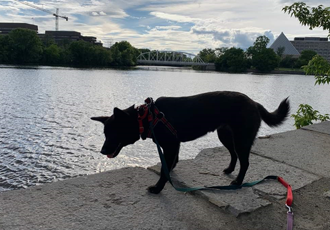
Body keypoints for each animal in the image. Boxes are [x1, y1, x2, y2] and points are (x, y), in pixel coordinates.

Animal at [91, 91, 288, 194]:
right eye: (105, 134)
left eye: (113, 134)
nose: (102, 151)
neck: (146, 117)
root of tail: (254, 103)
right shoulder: (174, 145)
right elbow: (170, 164)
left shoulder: (170, 146)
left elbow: (164, 170)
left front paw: (158, 188)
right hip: (225, 135)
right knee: (233, 155)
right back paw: (229, 170)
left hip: (241, 139)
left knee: (245, 162)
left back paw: (238, 182)